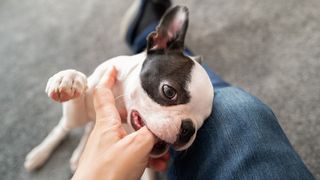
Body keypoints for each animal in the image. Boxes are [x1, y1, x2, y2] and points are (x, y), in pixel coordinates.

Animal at [23, 5, 214, 174]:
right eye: (168, 92)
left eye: (202, 121)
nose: (188, 130)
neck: (120, 105)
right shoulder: (81, 108)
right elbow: (78, 93)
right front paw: (69, 78)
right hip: (72, 121)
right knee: (63, 128)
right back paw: (40, 153)